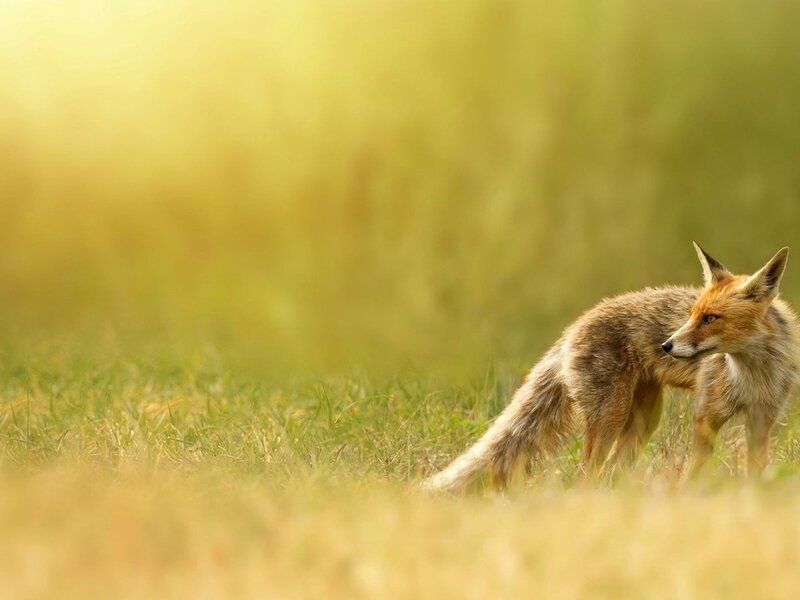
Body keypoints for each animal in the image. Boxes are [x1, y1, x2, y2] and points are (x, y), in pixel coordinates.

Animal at [424, 243, 800, 492]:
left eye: (711, 318)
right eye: (693, 315)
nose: (667, 345)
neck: (753, 375)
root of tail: (574, 325)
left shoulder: (762, 420)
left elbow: (756, 470)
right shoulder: (705, 416)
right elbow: (696, 472)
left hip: (642, 422)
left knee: (612, 472)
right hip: (610, 418)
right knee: (587, 476)